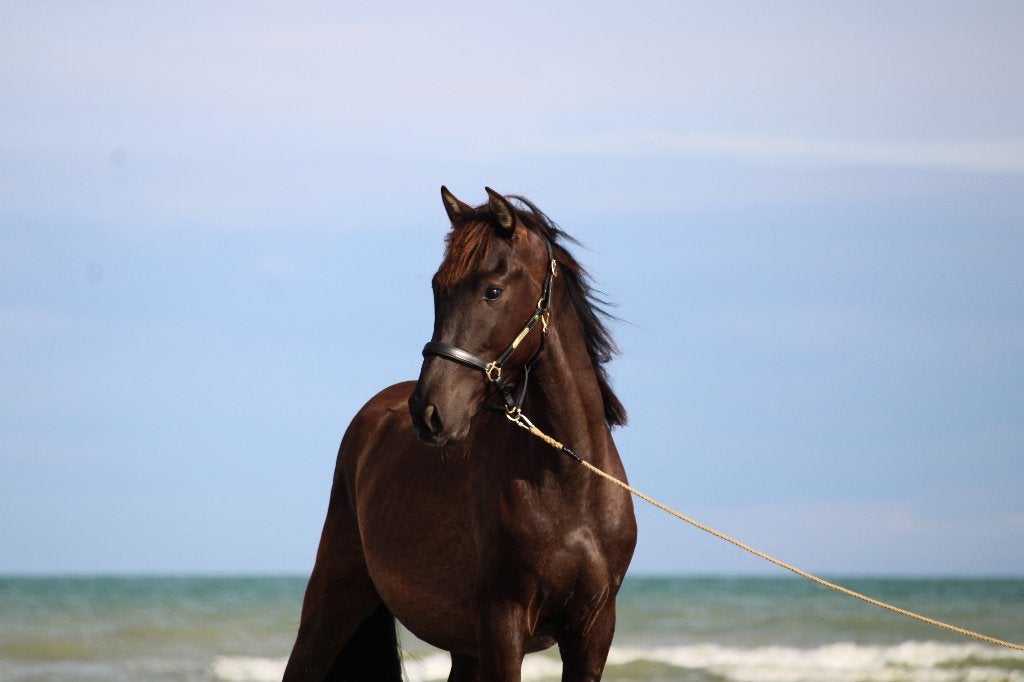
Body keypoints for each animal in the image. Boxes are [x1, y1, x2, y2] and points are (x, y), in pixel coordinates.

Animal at [284, 187, 637, 681]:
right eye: (438, 289)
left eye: (493, 291)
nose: (428, 411)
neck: (571, 483)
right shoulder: (503, 625)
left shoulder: (593, 631)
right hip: (332, 601)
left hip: (462, 647)